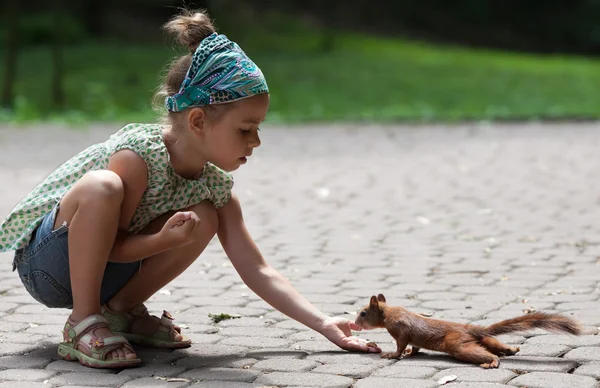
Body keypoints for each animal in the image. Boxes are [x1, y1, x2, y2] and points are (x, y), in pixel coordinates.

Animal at [356, 292, 580, 368]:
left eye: (363, 313)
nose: (356, 323)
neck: (389, 313)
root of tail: (472, 331)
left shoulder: (401, 330)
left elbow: (401, 345)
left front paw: (392, 354)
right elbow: (415, 347)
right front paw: (412, 353)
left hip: (458, 345)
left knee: (486, 353)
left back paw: (492, 362)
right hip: (482, 341)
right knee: (494, 345)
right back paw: (511, 350)